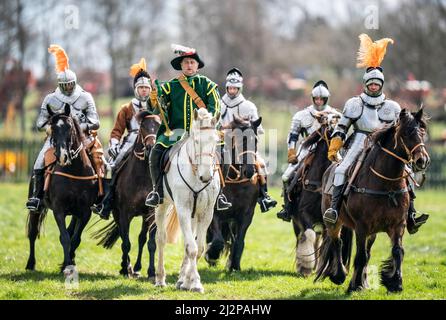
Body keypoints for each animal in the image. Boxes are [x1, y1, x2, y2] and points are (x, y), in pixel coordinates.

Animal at [25, 104, 98, 276]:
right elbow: (64, 237)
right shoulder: (59, 210)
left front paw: (69, 263)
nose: (62, 156)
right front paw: (66, 265)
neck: (75, 172)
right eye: (52, 127)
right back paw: (30, 264)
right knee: (32, 233)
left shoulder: (85, 212)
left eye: (69, 126)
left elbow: (75, 238)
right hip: (36, 209)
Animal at [92, 110, 160, 278]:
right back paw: (127, 266)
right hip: (117, 214)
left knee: (141, 238)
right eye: (143, 126)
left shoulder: (151, 214)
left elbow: (150, 242)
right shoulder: (124, 214)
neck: (142, 175)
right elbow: (126, 243)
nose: (151, 147)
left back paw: (136, 267)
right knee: (124, 238)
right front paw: (124, 268)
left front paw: (151, 271)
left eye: (159, 126)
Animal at [155, 107, 221, 292]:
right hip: (162, 205)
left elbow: (198, 248)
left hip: (194, 215)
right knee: (160, 238)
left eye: (216, 141)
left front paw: (190, 281)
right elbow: (191, 248)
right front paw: (195, 282)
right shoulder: (183, 209)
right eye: (196, 141)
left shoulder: (206, 213)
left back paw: (182, 280)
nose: (206, 177)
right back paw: (160, 278)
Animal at [204, 116, 260, 272]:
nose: (249, 171)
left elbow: (239, 241)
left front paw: (235, 266)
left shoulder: (246, 215)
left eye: (256, 140)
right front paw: (211, 255)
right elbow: (218, 241)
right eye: (240, 139)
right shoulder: (215, 213)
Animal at [316, 108, 430, 292]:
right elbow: (360, 256)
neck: (386, 185)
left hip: (373, 232)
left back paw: (363, 281)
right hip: (333, 223)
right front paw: (354, 286)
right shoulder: (362, 227)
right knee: (337, 242)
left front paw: (395, 282)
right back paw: (339, 275)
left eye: (422, 132)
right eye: (406, 133)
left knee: (366, 251)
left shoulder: (398, 225)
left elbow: (397, 251)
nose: (422, 160)